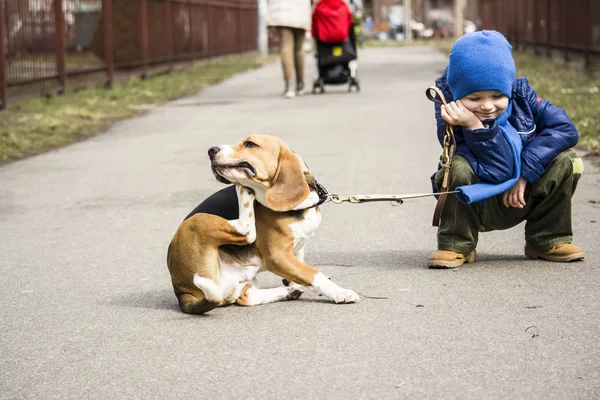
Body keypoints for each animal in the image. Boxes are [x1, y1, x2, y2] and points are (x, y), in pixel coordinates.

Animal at [166, 135, 358, 316]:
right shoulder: (277, 256)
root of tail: (181, 293)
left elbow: (301, 268)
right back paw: (243, 190)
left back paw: (288, 292)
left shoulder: (294, 251)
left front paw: (297, 283)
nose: (211, 151)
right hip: (195, 221)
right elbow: (313, 273)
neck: (299, 207)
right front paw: (340, 292)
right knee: (246, 232)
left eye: (250, 144)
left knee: (246, 297)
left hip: (244, 279)